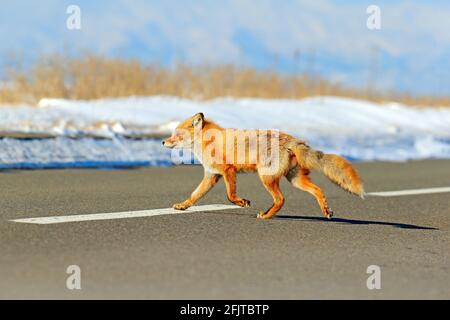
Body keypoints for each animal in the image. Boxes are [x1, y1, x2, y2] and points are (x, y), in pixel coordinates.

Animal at [163, 113, 364, 220]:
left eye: (176, 135)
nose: (163, 142)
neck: (208, 141)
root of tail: (293, 140)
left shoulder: (228, 170)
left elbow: (230, 196)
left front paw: (242, 203)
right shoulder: (211, 175)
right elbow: (194, 196)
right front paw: (182, 206)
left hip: (266, 177)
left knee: (281, 199)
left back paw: (267, 216)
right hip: (295, 179)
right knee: (318, 190)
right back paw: (326, 211)